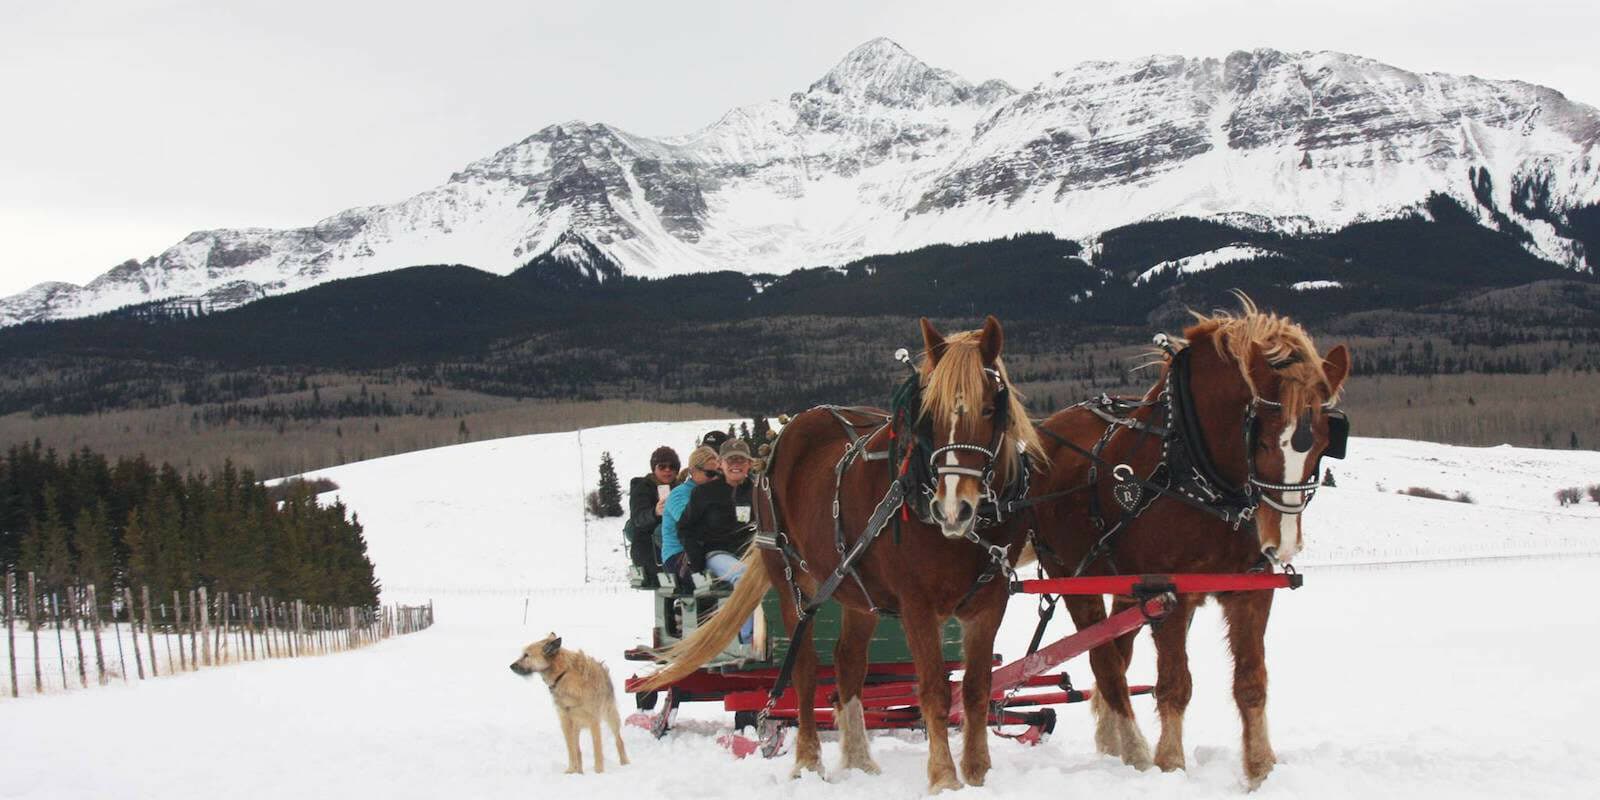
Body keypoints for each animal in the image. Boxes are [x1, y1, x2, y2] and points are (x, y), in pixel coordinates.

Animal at [508, 633, 627, 771]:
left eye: (527, 655)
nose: (511, 666)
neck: (562, 675)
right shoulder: (565, 721)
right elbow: (572, 750)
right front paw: (571, 771)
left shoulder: (593, 720)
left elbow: (597, 750)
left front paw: (598, 771)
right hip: (575, 725)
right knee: (578, 750)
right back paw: (579, 771)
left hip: (611, 716)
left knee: (619, 740)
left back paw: (624, 762)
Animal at [643, 315, 1043, 790]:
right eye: (930, 415)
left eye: (989, 409)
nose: (952, 508)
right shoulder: (917, 604)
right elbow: (933, 690)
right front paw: (945, 778)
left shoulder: (990, 602)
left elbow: (977, 690)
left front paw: (978, 775)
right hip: (792, 580)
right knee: (805, 670)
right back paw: (808, 760)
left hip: (855, 590)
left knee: (847, 663)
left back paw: (859, 760)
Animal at [1024, 297, 1350, 790]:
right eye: (1261, 438)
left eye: (1326, 442)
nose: (1282, 542)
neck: (1199, 475)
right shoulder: (1166, 594)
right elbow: (1174, 685)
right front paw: (1170, 765)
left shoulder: (1250, 592)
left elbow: (1251, 683)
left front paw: (1260, 771)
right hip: (1073, 577)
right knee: (1106, 665)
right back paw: (1135, 751)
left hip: (1125, 589)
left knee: (1116, 656)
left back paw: (1112, 743)